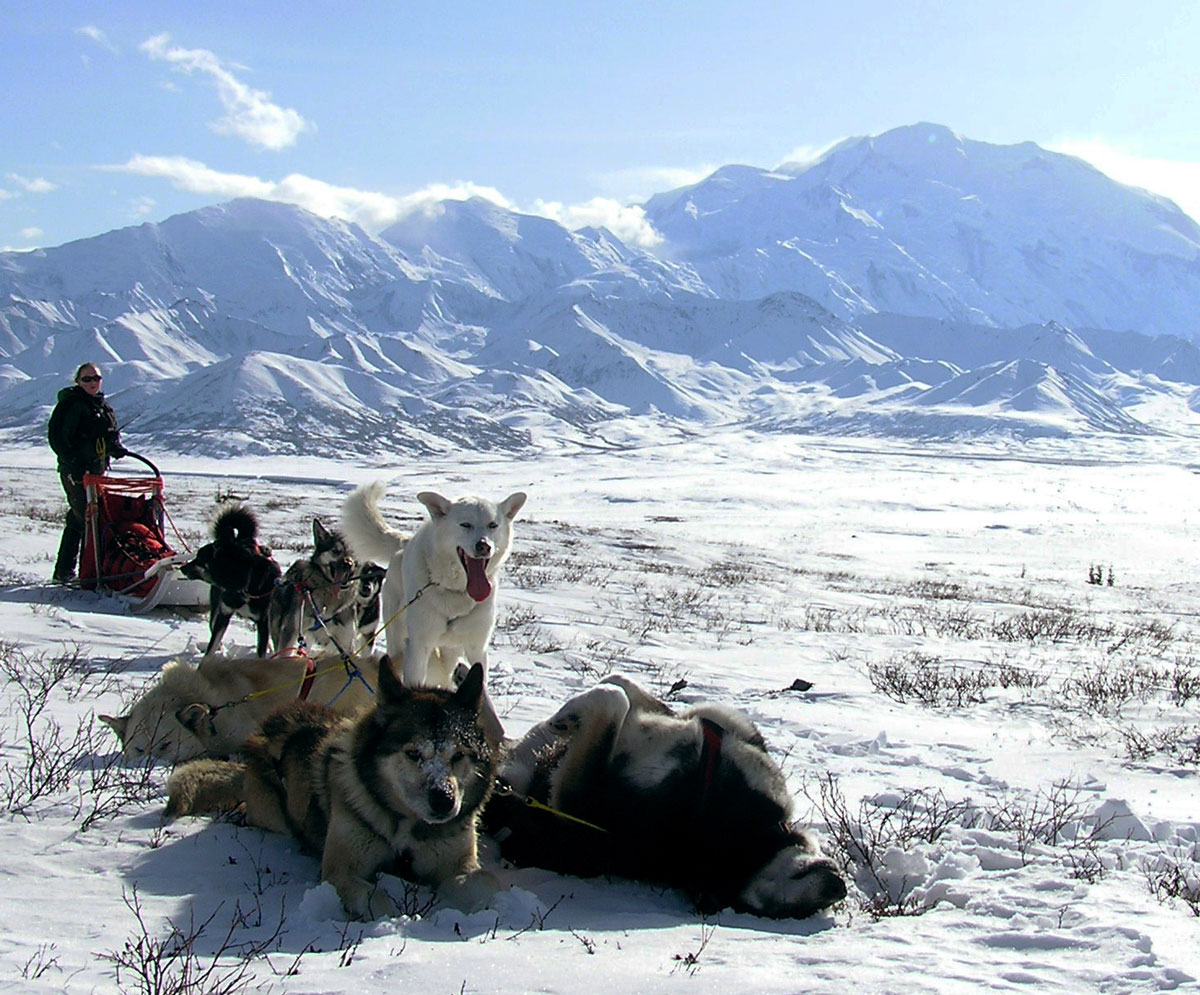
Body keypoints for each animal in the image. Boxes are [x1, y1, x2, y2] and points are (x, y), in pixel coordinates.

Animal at [166, 657, 499, 921]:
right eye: (413, 753)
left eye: (459, 755)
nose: (444, 801)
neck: (405, 827)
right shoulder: (341, 871)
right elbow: (377, 899)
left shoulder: (457, 867)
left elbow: (487, 886)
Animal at [338, 482, 525, 686]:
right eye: (465, 524)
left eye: (493, 525)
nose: (484, 546)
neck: (455, 590)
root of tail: (405, 543)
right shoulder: (419, 648)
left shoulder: (477, 648)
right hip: (397, 638)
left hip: (449, 650)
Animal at [484, 672, 844, 921]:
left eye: (786, 913)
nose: (837, 889)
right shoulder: (719, 725)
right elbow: (630, 690)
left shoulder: (580, 802)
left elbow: (613, 702)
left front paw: (570, 714)